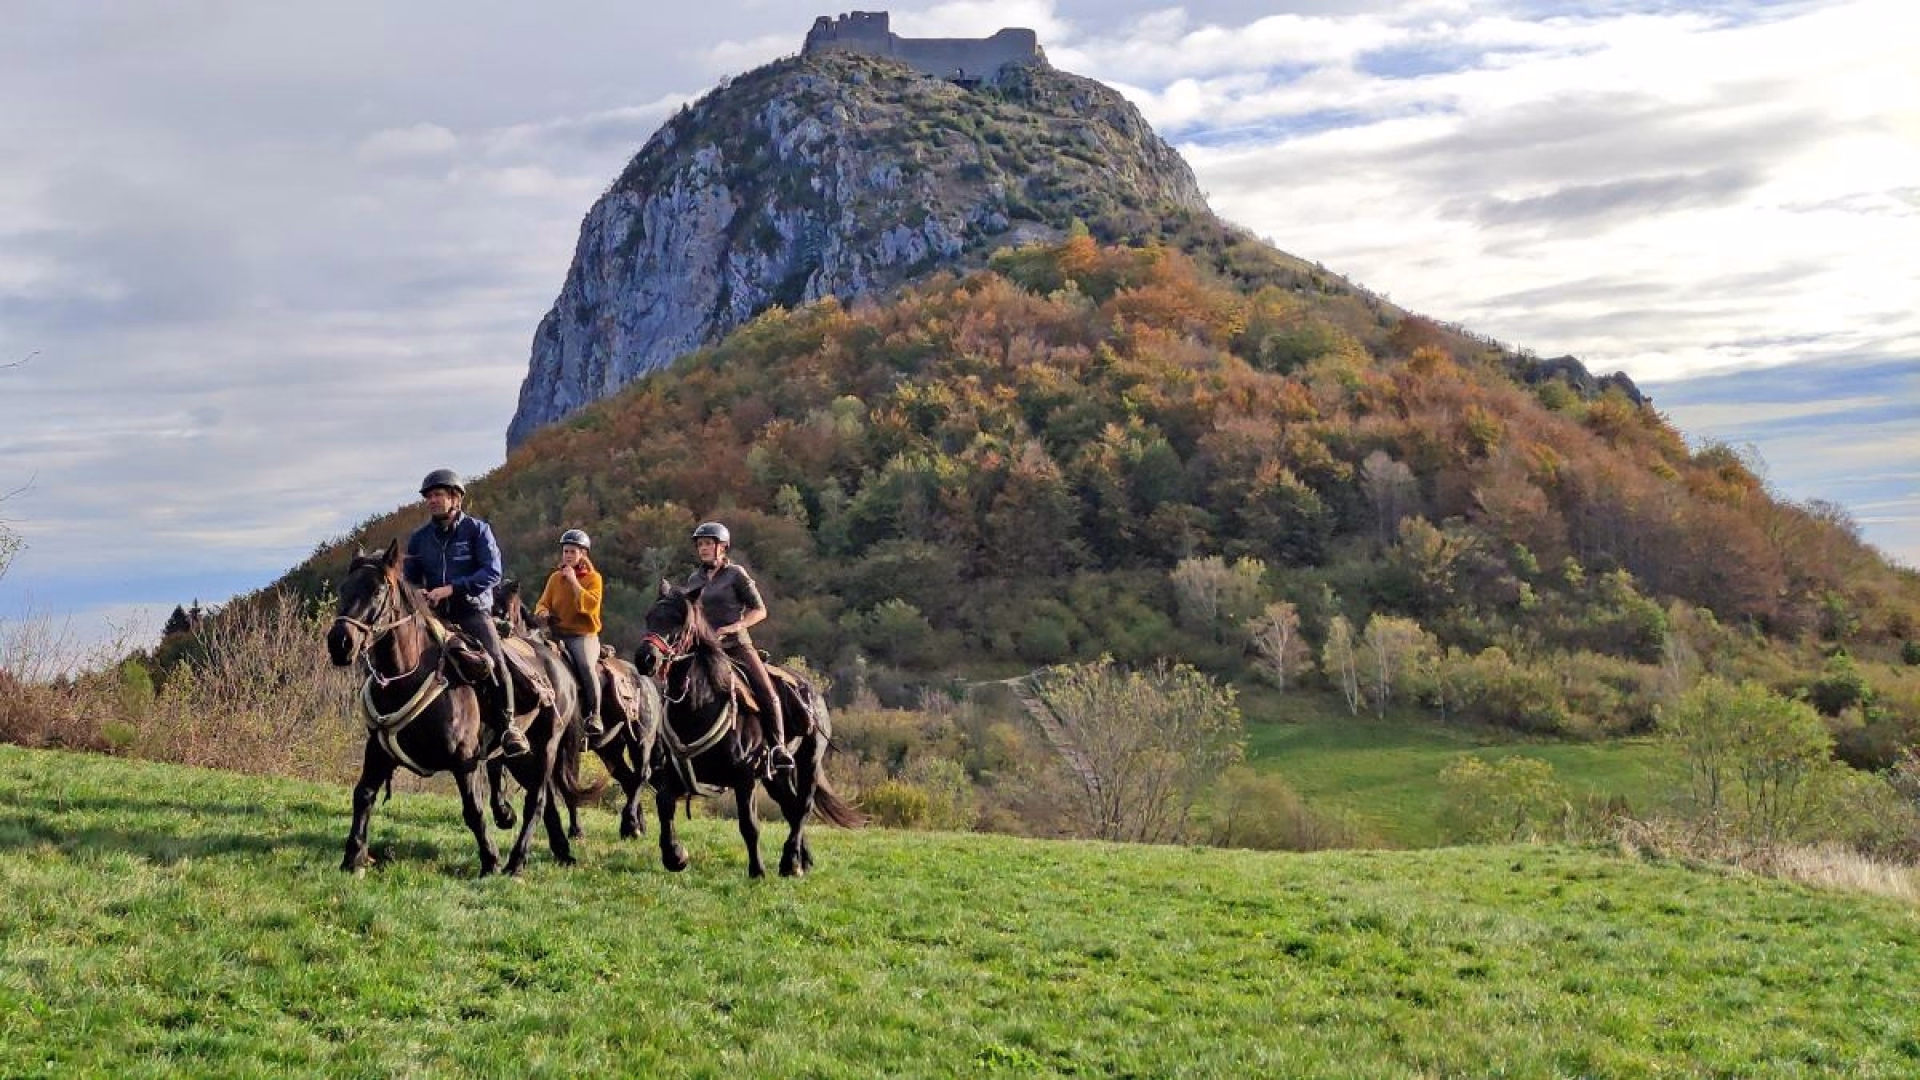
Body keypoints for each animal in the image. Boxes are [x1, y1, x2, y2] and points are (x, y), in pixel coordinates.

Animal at [324, 540, 587, 876]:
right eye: (344, 588)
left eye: (378, 589)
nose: (340, 642)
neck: (409, 674)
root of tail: (560, 664)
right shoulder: (378, 751)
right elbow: (363, 795)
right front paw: (352, 858)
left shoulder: (464, 760)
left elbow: (473, 810)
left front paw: (490, 861)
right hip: (520, 756)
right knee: (547, 800)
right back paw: (559, 852)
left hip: (545, 746)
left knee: (538, 800)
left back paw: (516, 863)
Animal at [490, 580, 661, 840]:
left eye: (502, 609)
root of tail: (647, 682)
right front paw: (505, 814)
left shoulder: (562, 744)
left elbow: (565, 784)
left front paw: (575, 830)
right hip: (610, 749)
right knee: (628, 779)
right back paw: (634, 827)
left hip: (640, 741)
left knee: (642, 775)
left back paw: (631, 823)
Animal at [637, 580, 864, 877]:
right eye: (650, 617)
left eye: (679, 621)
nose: (645, 659)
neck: (699, 706)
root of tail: (812, 691)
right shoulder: (673, 774)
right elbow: (664, 805)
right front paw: (676, 856)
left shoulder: (744, 778)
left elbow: (749, 825)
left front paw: (757, 870)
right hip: (775, 776)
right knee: (790, 806)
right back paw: (801, 860)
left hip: (809, 762)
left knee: (803, 806)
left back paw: (790, 862)